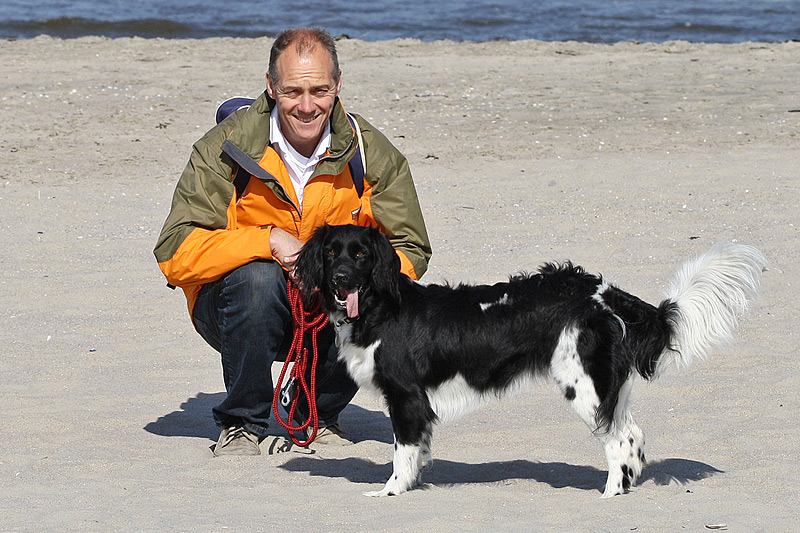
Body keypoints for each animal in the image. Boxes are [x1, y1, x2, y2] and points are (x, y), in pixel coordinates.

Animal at [294, 223, 764, 494]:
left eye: (360, 254)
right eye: (332, 252)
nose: (340, 279)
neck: (382, 308)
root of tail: (604, 292)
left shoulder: (406, 397)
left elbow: (401, 453)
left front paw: (390, 492)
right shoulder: (418, 404)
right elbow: (419, 452)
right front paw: (412, 484)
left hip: (585, 386)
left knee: (618, 439)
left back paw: (610, 496)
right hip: (609, 387)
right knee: (633, 436)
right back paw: (625, 487)